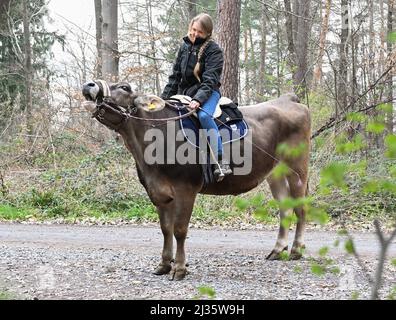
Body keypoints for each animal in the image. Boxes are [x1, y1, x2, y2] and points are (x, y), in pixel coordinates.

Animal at [82, 80, 310, 280]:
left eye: (124, 87)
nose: (89, 84)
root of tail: (287, 99)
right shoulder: (158, 191)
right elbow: (166, 229)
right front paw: (164, 264)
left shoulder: (186, 188)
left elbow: (180, 229)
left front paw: (179, 269)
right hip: (275, 173)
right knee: (285, 209)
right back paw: (277, 250)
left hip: (297, 168)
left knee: (300, 208)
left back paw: (296, 250)